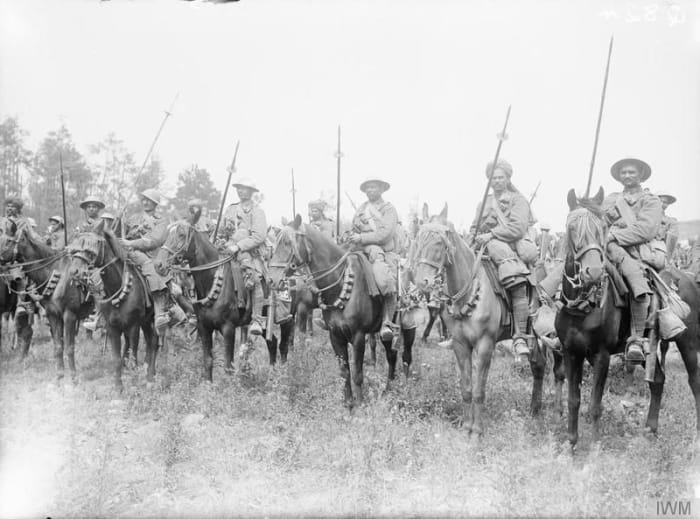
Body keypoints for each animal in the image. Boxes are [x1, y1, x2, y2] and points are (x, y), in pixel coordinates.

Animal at [0, 220, 93, 378]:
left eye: (7, 241)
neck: (54, 272)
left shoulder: (70, 315)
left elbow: (69, 347)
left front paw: (73, 377)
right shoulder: (53, 315)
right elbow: (58, 346)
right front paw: (60, 376)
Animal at [67, 219, 159, 390]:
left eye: (91, 247)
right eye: (75, 247)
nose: (74, 271)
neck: (118, 287)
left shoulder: (134, 326)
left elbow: (133, 356)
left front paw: (135, 384)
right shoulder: (112, 328)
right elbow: (117, 359)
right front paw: (118, 388)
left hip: (151, 319)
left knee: (154, 342)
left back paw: (150, 377)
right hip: (145, 321)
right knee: (150, 342)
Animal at [272, 215, 416, 406]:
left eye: (288, 242)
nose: (272, 279)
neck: (341, 284)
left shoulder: (358, 336)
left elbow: (357, 374)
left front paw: (360, 404)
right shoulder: (335, 335)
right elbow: (344, 372)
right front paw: (348, 404)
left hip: (407, 326)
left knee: (406, 356)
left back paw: (403, 387)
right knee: (392, 355)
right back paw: (388, 390)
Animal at [410, 203, 552, 434]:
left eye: (439, 242)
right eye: (418, 240)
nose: (423, 282)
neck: (470, 290)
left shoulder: (485, 346)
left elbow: (479, 390)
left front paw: (477, 431)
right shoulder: (460, 345)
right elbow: (467, 388)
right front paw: (467, 427)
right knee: (538, 364)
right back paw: (534, 409)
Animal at [556, 188, 700, 450]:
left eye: (602, 227)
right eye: (572, 227)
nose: (593, 271)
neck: (582, 308)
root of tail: (689, 280)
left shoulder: (601, 356)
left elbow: (595, 405)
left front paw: (595, 448)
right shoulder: (571, 352)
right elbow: (573, 400)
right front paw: (570, 445)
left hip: (688, 342)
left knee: (695, 382)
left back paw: (696, 435)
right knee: (658, 380)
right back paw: (651, 429)